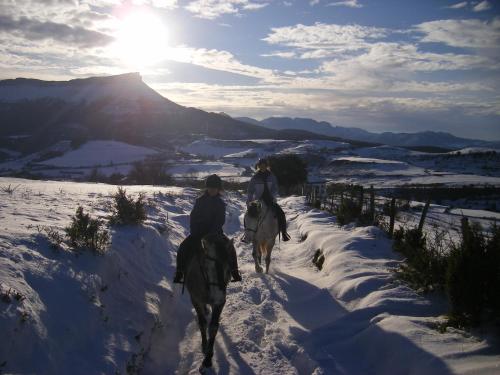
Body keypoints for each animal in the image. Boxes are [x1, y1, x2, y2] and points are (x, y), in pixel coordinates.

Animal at [184, 234, 234, 372]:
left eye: (228, 267)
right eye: (207, 267)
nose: (217, 296)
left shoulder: (219, 304)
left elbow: (213, 327)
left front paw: (207, 359)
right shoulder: (196, 300)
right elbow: (202, 323)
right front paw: (204, 345)